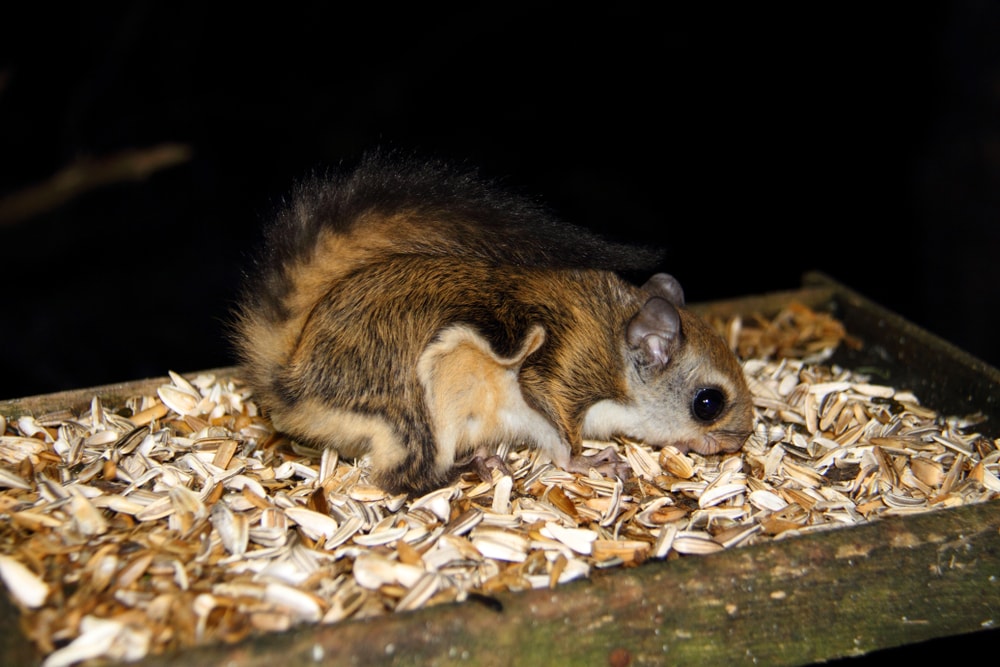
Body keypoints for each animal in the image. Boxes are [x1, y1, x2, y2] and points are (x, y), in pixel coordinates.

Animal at [230, 150, 754, 495]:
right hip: (414, 409)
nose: (739, 442)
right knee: (400, 478)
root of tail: (292, 382)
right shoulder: (563, 369)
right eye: (708, 403)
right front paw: (590, 462)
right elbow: (559, 432)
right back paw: (470, 467)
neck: (615, 339)